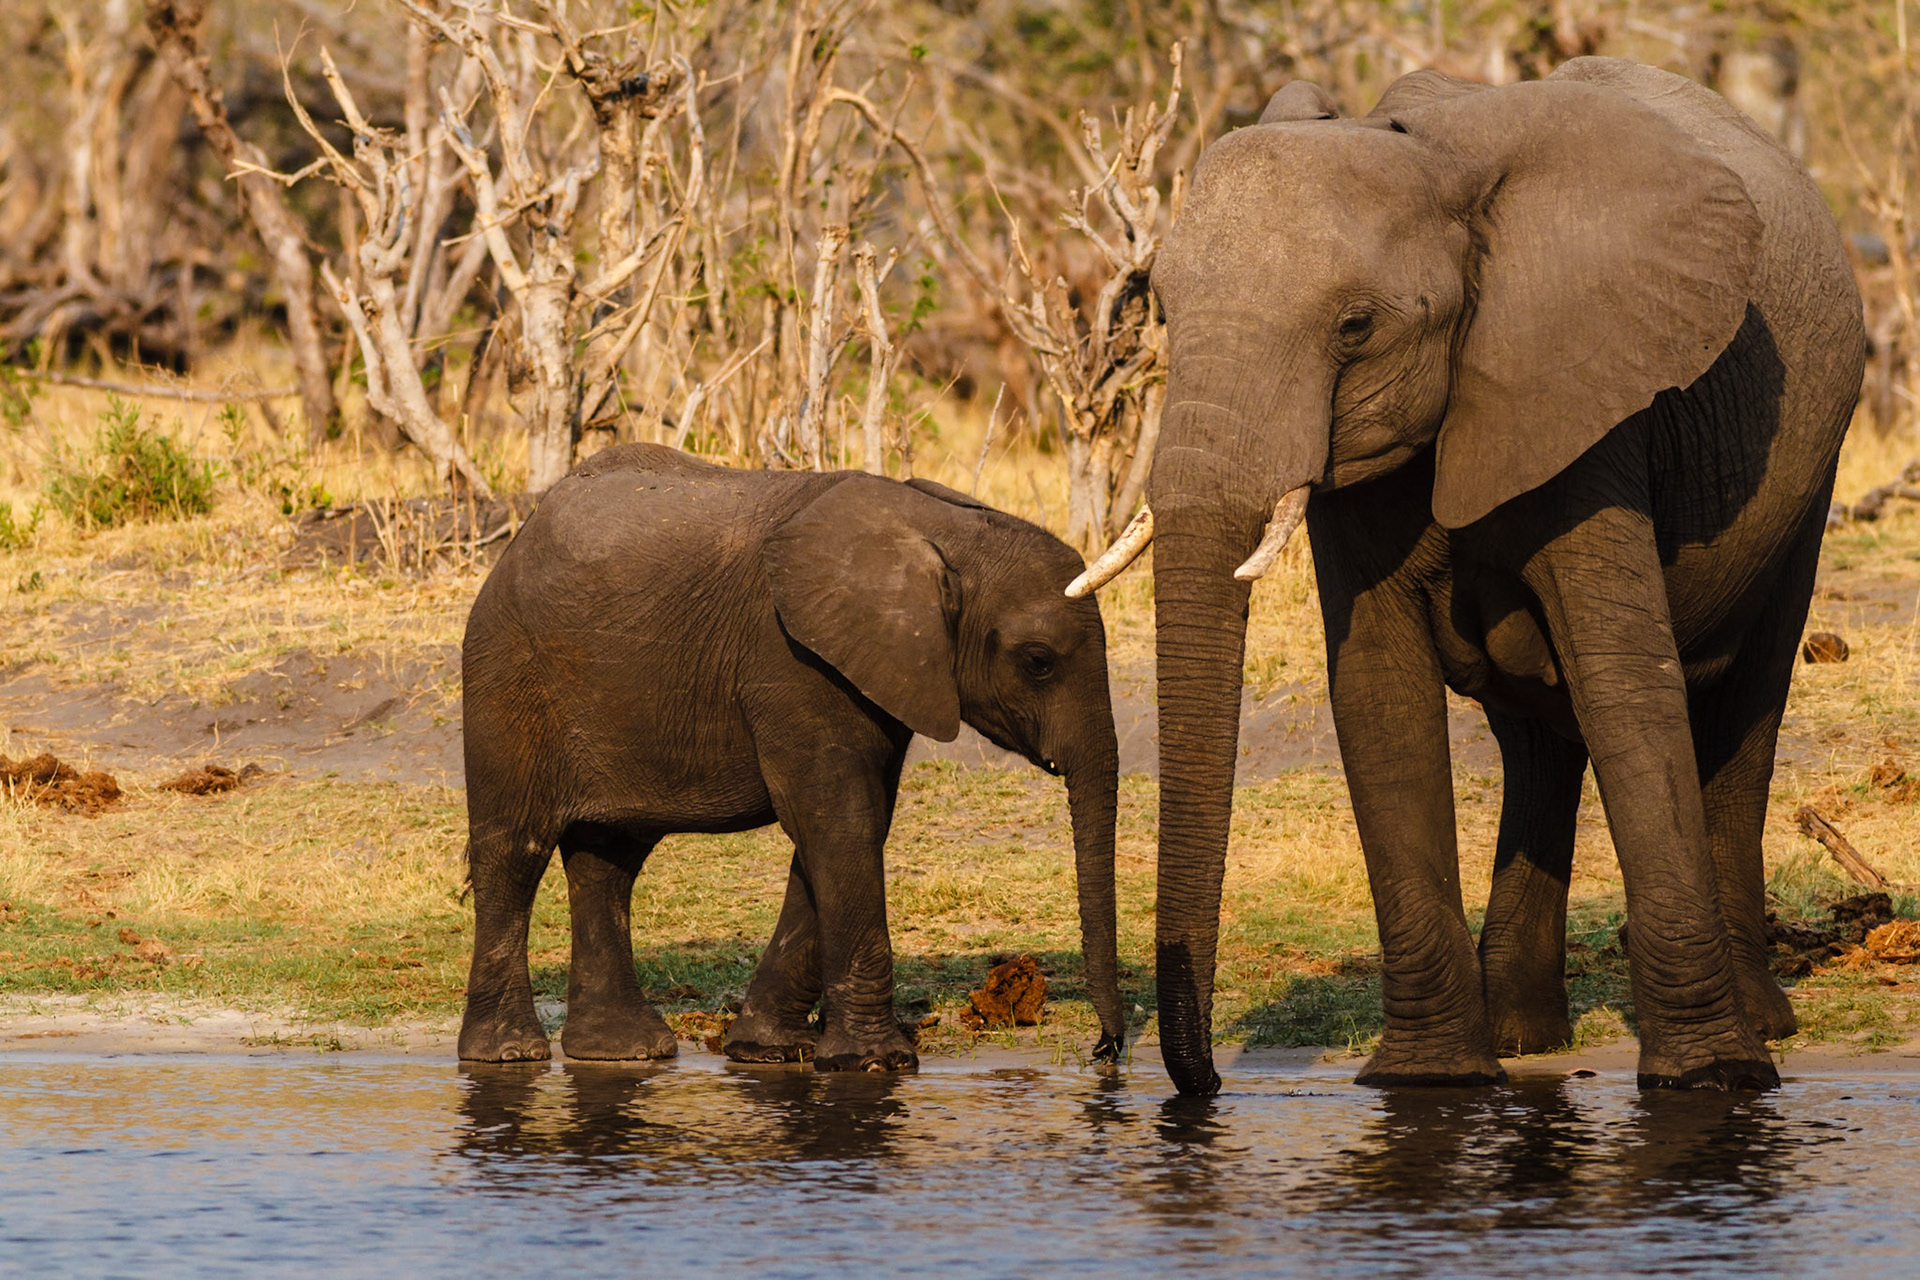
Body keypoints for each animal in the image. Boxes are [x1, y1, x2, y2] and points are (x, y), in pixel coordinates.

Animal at [456, 443, 1126, 1072]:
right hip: (507, 669)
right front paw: (876, 1064)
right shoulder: (789, 657)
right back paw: (508, 1055)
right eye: (1038, 662)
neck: (941, 528)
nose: (1106, 1050)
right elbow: (838, 820)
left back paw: (625, 1052)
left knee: (610, 860)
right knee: (515, 850)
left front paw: (769, 1052)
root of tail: (519, 539)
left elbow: (849, 825)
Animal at [1071, 58, 1864, 1094]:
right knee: (1540, 743)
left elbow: (1626, 685)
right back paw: (1526, 1038)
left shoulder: (1590, 397)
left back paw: (1759, 1029)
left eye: (1356, 326)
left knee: (1743, 706)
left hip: (1810, 469)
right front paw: (1429, 1084)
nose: (1191, 1083)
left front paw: (1708, 1081)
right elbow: (1378, 695)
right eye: (1161, 308)